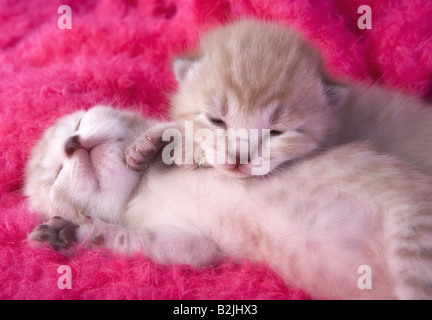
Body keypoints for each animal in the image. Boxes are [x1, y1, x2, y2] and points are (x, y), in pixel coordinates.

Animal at [26, 107, 432, 300]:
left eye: (80, 120)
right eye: (54, 174)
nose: (72, 144)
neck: (139, 190)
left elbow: (189, 135)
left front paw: (148, 144)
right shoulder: (194, 245)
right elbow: (159, 244)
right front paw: (74, 232)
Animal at [170, 19, 432, 176]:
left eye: (277, 132)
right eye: (217, 120)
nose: (239, 159)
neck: (341, 116)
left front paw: (190, 151)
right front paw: (190, 149)